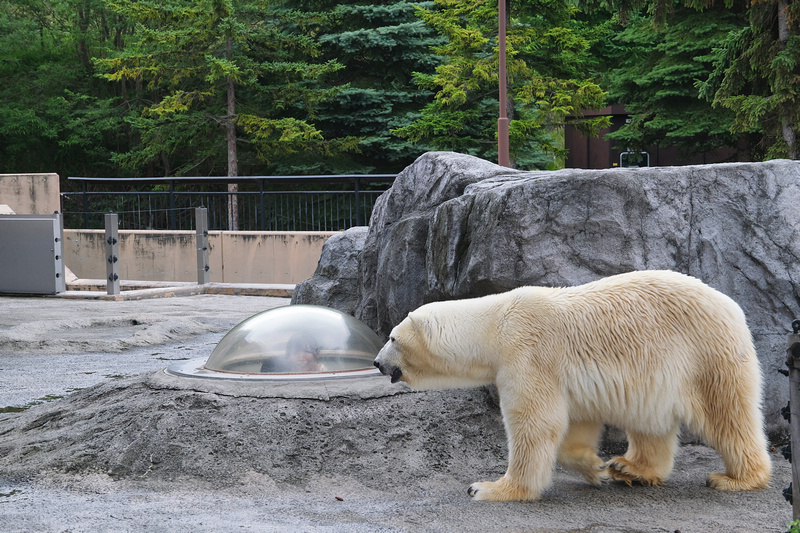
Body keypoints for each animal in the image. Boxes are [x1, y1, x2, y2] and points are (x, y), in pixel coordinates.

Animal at [376, 270, 776, 498]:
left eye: (393, 337)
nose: (378, 363)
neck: (495, 323)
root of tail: (732, 306)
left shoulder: (527, 355)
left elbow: (535, 423)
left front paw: (489, 488)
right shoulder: (562, 375)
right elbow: (575, 423)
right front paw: (593, 466)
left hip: (704, 354)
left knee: (727, 414)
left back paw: (734, 479)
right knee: (651, 423)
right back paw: (629, 468)